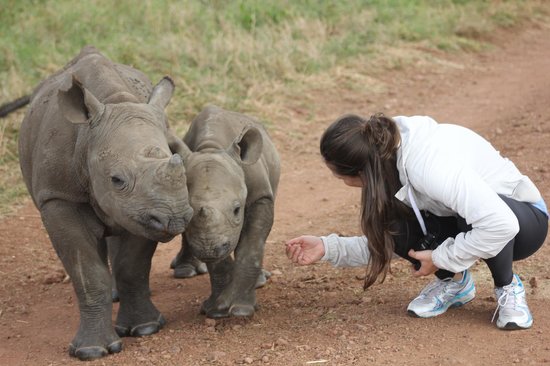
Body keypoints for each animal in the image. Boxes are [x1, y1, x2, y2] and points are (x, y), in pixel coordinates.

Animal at [17, 46, 194, 360]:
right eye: (116, 179)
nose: (175, 218)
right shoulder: (59, 197)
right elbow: (87, 272)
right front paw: (91, 351)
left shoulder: (142, 209)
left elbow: (131, 266)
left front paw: (145, 328)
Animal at [172, 105, 282, 318]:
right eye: (188, 214)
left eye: (237, 210)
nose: (207, 249)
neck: (211, 147)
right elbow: (217, 261)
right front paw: (216, 310)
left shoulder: (261, 196)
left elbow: (252, 246)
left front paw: (241, 310)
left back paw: (260, 281)